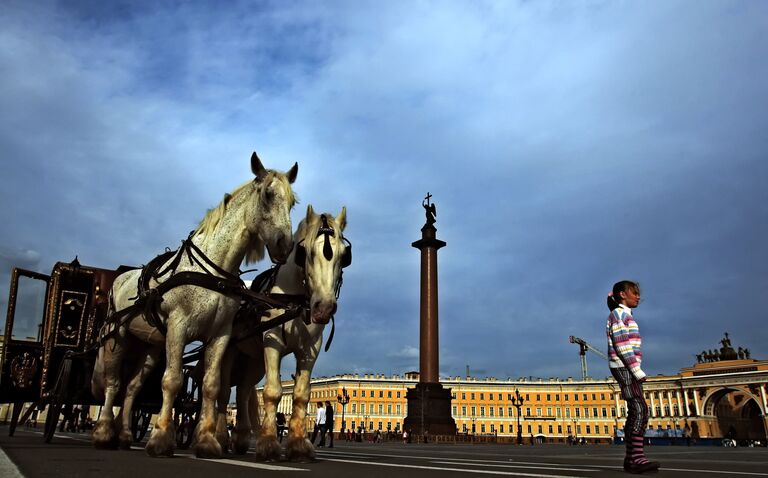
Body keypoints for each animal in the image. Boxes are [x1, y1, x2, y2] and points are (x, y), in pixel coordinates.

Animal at [91, 154, 298, 460]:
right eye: (268, 195)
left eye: (293, 202)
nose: (285, 245)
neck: (213, 269)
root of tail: (120, 276)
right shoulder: (178, 328)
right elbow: (172, 380)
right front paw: (161, 439)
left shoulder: (220, 335)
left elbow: (211, 386)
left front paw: (207, 442)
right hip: (117, 337)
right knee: (113, 383)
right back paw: (104, 433)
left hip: (150, 346)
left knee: (131, 388)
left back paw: (125, 435)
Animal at [214, 205, 350, 460]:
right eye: (306, 252)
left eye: (344, 255)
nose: (324, 307)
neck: (294, 301)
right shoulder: (272, 341)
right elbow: (272, 392)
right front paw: (268, 444)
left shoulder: (311, 349)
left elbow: (301, 395)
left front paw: (298, 445)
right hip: (229, 351)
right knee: (224, 391)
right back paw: (218, 438)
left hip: (254, 360)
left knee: (244, 391)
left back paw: (240, 438)